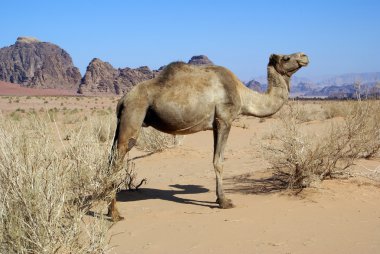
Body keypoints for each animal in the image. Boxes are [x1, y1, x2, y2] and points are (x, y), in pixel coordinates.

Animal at [107, 52, 308, 220]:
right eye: (286, 58)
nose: (304, 56)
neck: (242, 95)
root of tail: (122, 100)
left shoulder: (215, 126)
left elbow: (215, 159)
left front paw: (219, 199)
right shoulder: (225, 119)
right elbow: (219, 162)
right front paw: (224, 202)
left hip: (121, 122)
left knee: (110, 158)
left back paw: (110, 210)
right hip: (134, 114)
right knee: (117, 160)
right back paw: (116, 214)